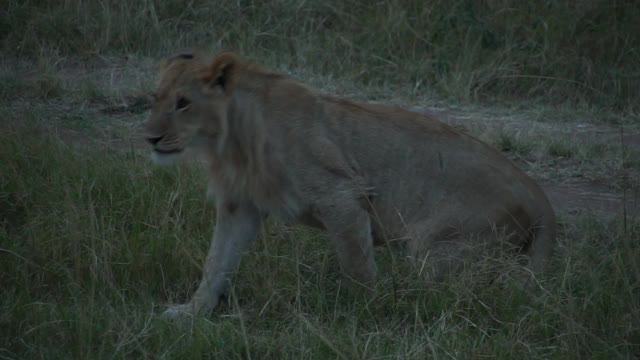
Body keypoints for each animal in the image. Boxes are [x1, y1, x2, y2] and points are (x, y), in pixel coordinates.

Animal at [144, 50, 556, 318]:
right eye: (156, 98)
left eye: (184, 103)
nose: (150, 138)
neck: (229, 140)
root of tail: (539, 196)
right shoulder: (239, 206)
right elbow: (217, 261)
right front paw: (191, 311)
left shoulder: (341, 196)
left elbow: (357, 267)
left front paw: (365, 314)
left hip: (437, 247)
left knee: (472, 293)